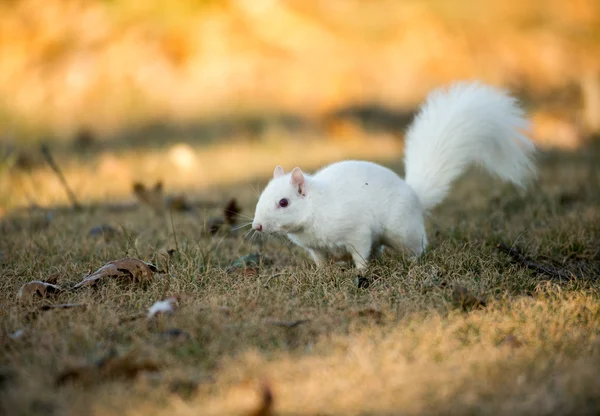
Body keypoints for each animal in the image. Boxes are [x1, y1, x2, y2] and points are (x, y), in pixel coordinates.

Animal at [251, 82, 536, 270]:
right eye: (261, 197)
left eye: (284, 202)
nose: (257, 226)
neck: (316, 210)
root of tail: (415, 195)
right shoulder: (315, 248)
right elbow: (321, 261)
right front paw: (322, 275)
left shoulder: (357, 230)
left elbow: (360, 252)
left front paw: (360, 273)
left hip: (401, 229)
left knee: (416, 245)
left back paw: (412, 261)